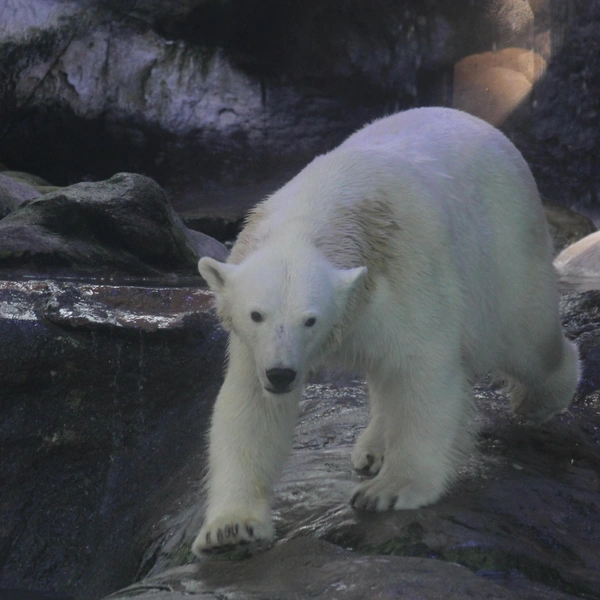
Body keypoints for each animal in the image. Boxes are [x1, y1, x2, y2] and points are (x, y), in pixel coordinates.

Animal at [192, 105, 576, 552]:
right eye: (257, 315)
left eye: (310, 319)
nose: (282, 374)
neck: (317, 213)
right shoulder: (256, 344)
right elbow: (250, 405)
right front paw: (229, 528)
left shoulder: (408, 270)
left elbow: (421, 369)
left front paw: (389, 490)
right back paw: (372, 447)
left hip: (505, 246)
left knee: (527, 338)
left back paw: (540, 399)